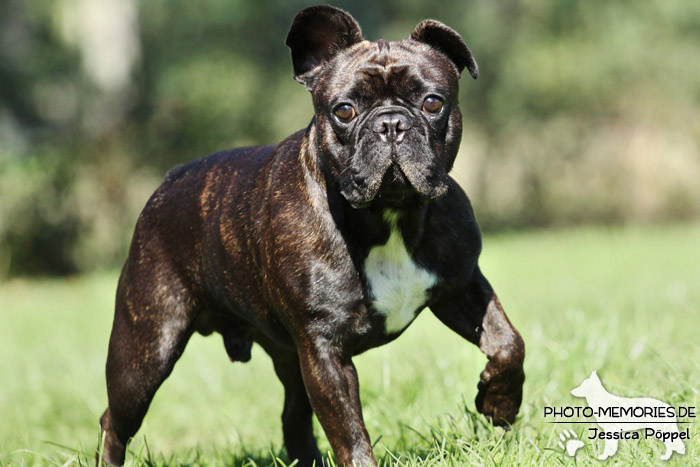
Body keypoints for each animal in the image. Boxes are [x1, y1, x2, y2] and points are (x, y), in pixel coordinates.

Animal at [98, 5, 524, 466]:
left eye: (432, 102)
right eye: (344, 111)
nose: (391, 124)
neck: (389, 216)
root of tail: (168, 180)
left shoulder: (462, 286)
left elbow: (508, 342)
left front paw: (499, 402)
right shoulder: (323, 350)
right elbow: (349, 430)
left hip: (286, 353)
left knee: (293, 414)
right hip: (145, 352)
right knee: (115, 420)